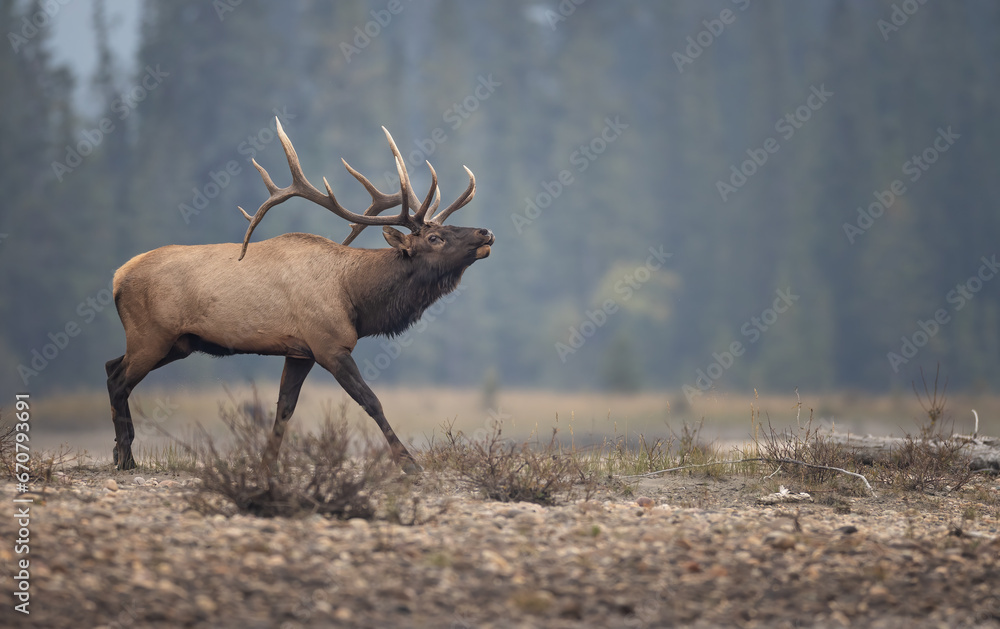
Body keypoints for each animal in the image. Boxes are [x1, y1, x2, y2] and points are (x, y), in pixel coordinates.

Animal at [105, 119, 494, 474]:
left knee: (111, 367)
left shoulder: (299, 351)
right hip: (152, 335)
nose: (485, 232)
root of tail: (117, 278)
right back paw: (126, 458)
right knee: (120, 381)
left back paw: (121, 452)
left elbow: (284, 409)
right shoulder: (329, 345)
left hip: (177, 343)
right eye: (434, 238)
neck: (355, 297)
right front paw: (409, 463)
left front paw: (267, 466)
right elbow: (371, 402)